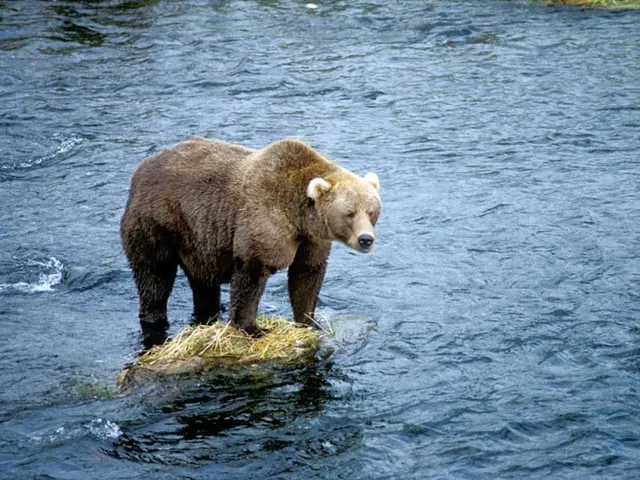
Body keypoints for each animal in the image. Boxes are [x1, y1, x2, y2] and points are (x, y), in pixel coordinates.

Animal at [120, 136, 381, 335]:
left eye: (371, 210)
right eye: (349, 212)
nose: (366, 239)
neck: (297, 216)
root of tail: (140, 171)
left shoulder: (311, 240)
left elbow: (306, 274)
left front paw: (308, 320)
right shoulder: (263, 221)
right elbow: (251, 275)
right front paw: (252, 327)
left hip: (196, 238)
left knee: (202, 281)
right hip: (157, 222)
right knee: (155, 274)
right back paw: (154, 316)